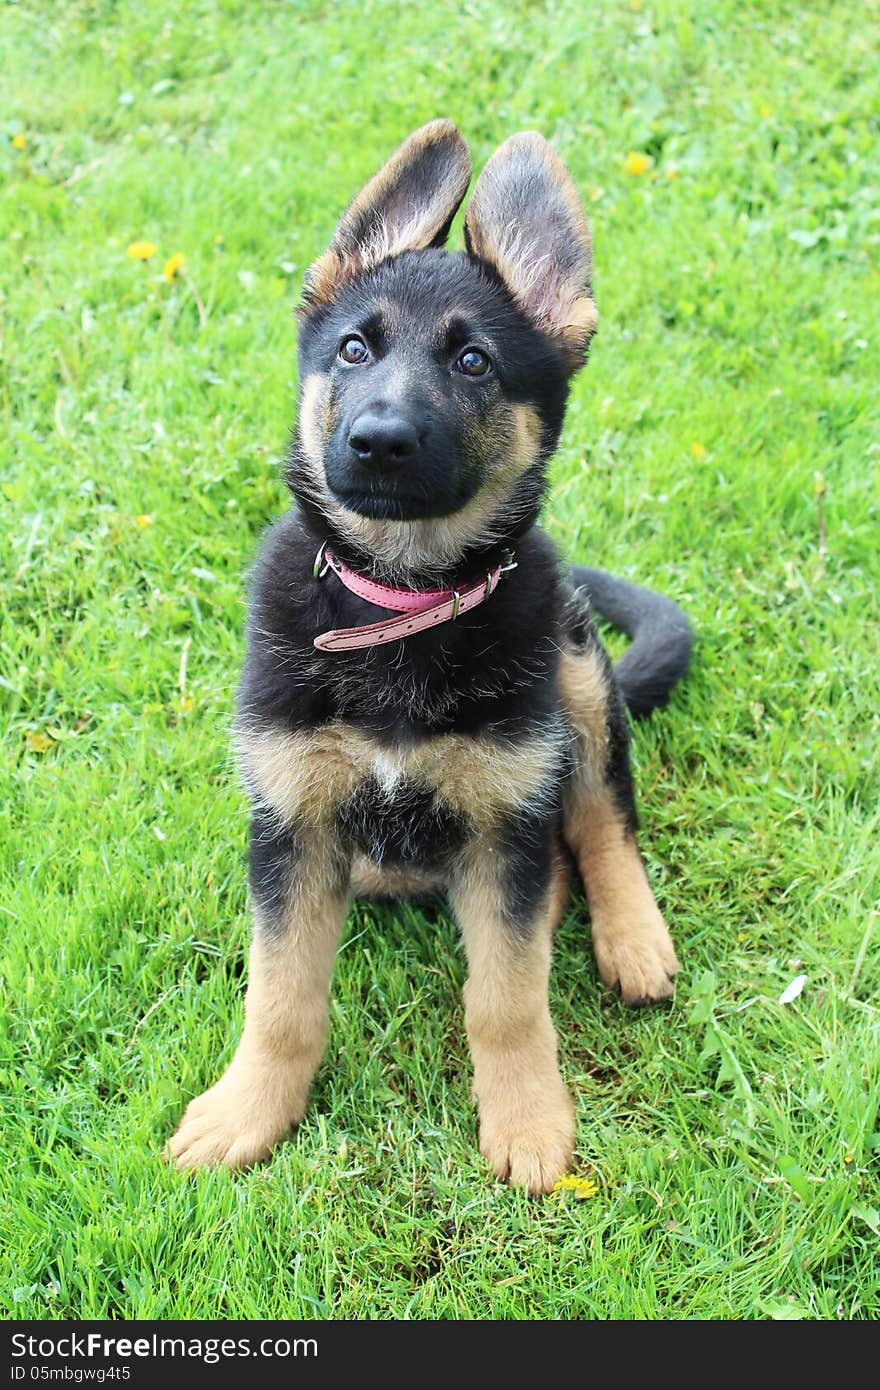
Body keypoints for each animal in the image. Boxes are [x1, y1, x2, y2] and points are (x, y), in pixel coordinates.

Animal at [166, 119, 686, 1195]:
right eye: (354, 348)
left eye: (476, 362)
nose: (378, 441)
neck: (404, 608)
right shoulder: (293, 825)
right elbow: (280, 995)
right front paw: (248, 1111)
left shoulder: (506, 825)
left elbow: (508, 993)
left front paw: (528, 1119)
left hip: (575, 670)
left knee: (601, 818)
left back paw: (632, 934)